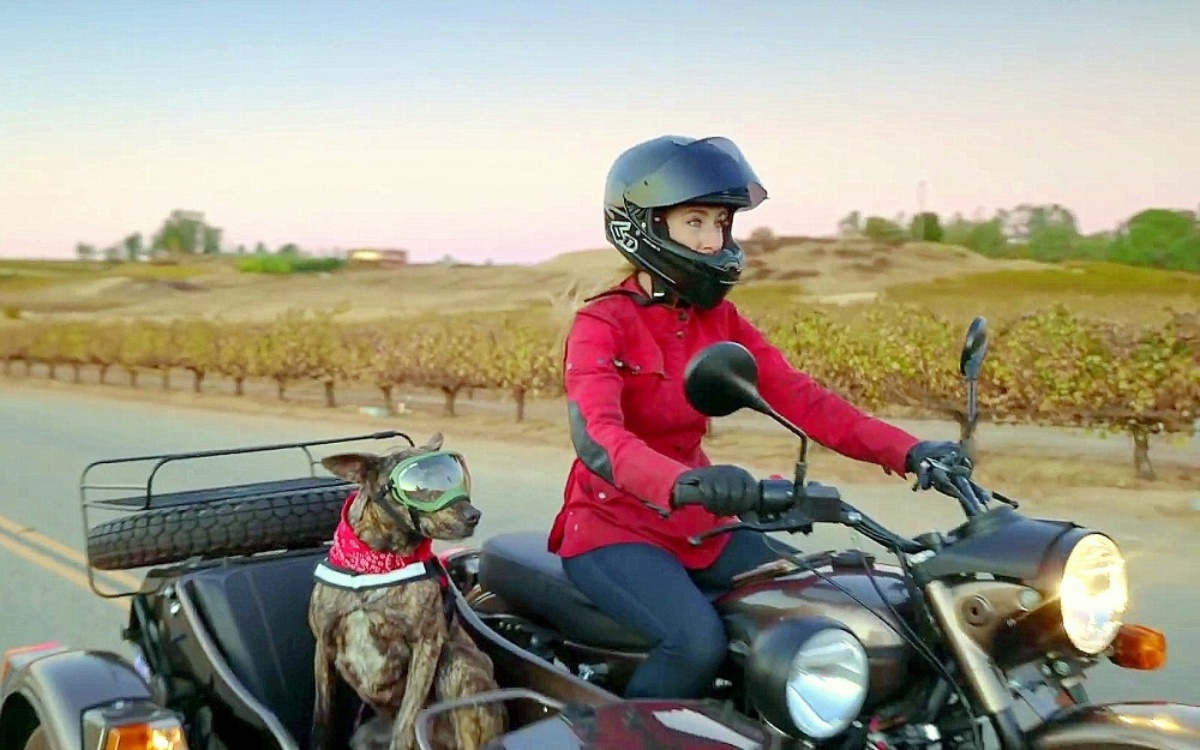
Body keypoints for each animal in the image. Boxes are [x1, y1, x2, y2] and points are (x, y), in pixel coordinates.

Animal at [307, 432, 508, 748]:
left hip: (457, 664)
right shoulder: (323, 644)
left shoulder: (426, 646)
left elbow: (406, 722)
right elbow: (321, 718)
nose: (474, 514)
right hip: (363, 736)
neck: (377, 565)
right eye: (418, 485)